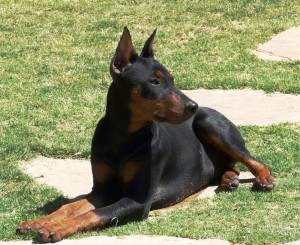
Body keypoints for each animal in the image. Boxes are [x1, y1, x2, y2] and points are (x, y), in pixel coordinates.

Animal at [15, 27, 274, 242]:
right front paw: (37, 222)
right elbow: (70, 207)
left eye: (172, 79)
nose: (193, 105)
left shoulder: (137, 201)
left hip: (209, 123)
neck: (122, 137)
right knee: (231, 166)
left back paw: (262, 178)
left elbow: (94, 214)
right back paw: (229, 178)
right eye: (154, 81)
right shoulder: (102, 190)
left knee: (253, 160)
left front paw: (55, 228)